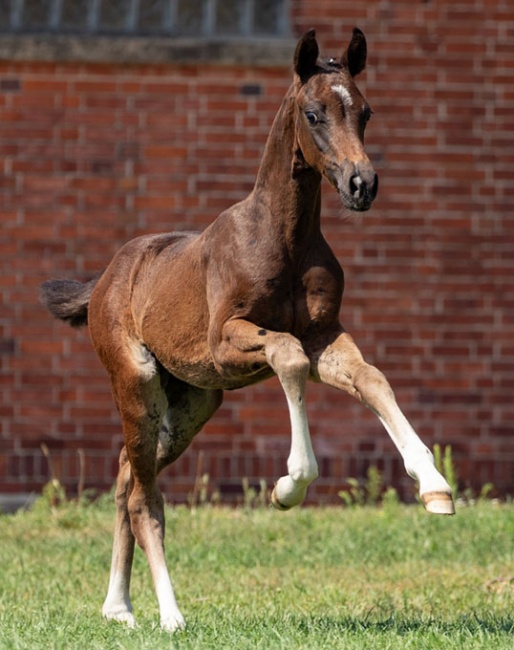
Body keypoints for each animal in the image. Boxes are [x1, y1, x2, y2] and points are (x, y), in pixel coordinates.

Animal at [42, 29, 454, 628]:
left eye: (367, 112)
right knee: (144, 498)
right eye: (313, 114)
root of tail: (104, 281)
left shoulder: (326, 336)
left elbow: (372, 379)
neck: (284, 237)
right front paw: (289, 485)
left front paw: (436, 487)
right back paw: (169, 615)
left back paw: (118, 607)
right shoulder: (227, 341)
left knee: (125, 476)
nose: (362, 184)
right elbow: (287, 356)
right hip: (136, 381)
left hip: (190, 404)